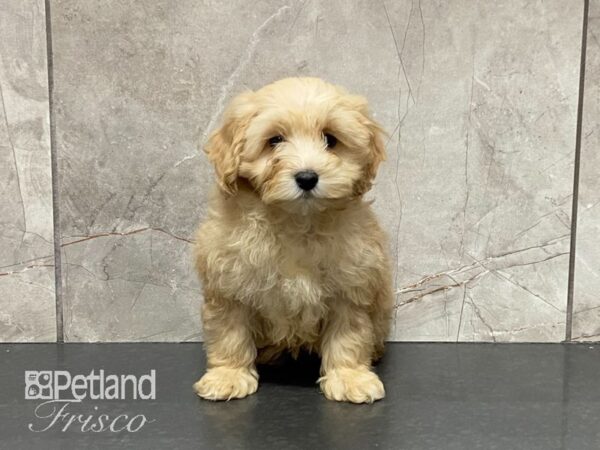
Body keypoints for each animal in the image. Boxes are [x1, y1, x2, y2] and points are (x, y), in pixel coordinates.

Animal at [192, 77, 394, 404]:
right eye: (275, 140)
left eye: (330, 139)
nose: (307, 178)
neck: (297, 221)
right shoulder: (228, 283)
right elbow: (230, 332)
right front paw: (228, 376)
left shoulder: (351, 284)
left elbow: (349, 335)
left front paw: (350, 377)